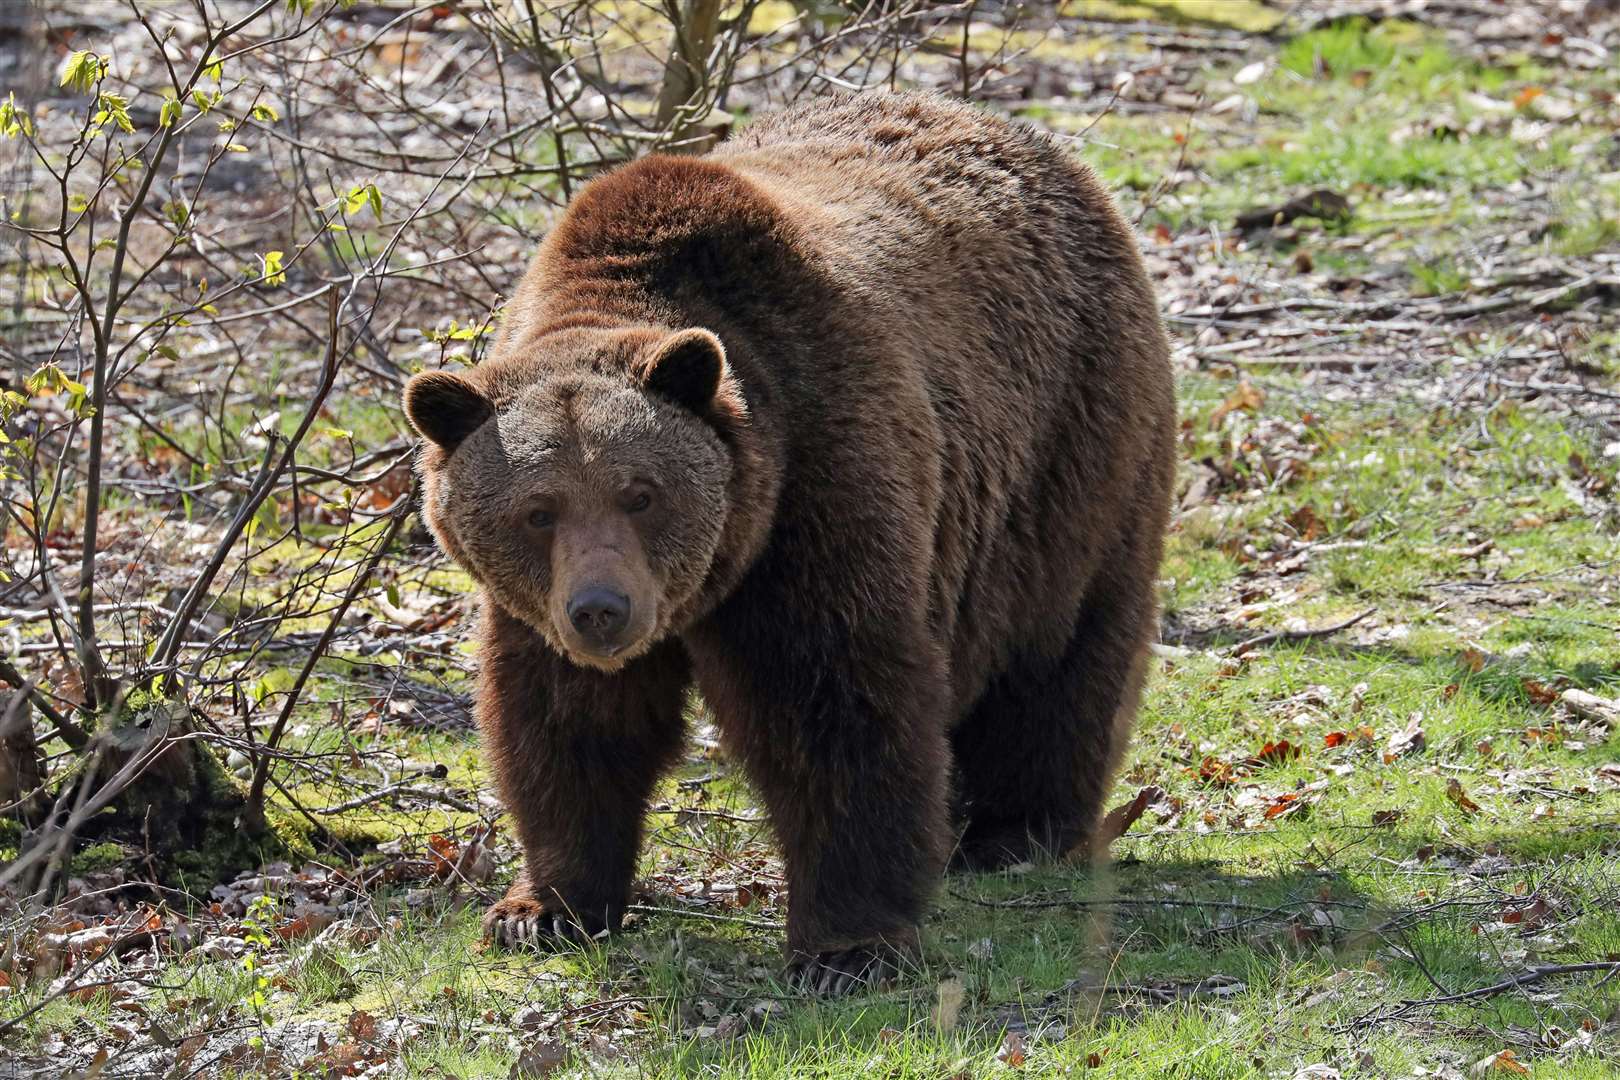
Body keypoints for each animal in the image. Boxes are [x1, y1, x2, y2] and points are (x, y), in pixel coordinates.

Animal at [405, 93, 1179, 997]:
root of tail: (1043, 151)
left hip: (1072, 446)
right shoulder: (539, 614)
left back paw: (1014, 829)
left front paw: (849, 945)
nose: (602, 609)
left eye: (641, 493)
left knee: (1062, 645)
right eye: (538, 509)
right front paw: (542, 908)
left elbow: (834, 703)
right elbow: (570, 724)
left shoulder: (814, 484)